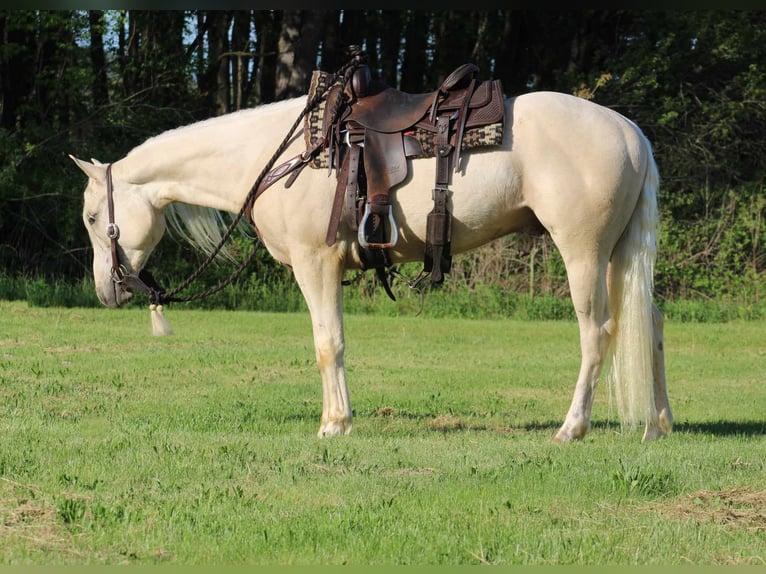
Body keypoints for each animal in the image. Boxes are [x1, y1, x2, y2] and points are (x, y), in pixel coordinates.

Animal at [70, 90, 672, 444]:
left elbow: (327, 343)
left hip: (584, 252)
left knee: (598, 332)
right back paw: (658, 421)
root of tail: (631, 134)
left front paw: (334, 424)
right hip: (619, 256)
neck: (281, 154)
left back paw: (572, 428)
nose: (107, 291)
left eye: (96, 217)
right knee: (650, 324)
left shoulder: (315, 264)